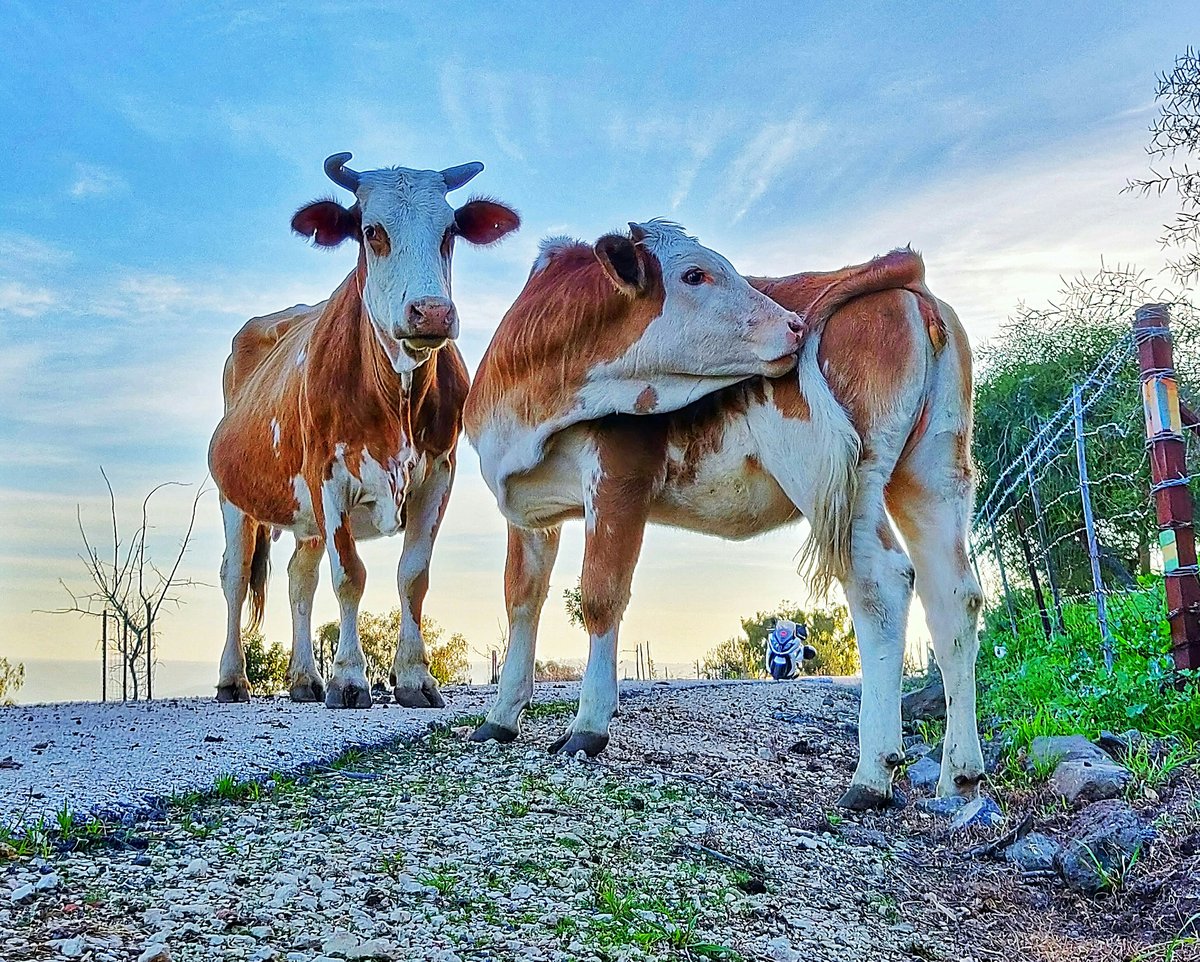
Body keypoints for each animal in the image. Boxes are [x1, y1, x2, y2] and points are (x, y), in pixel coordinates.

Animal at [208, 149, 518, 705]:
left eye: (450, 231)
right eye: (372, 231)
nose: (432, 312)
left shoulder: (439, 472)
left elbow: (413, 576)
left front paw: (414, 677)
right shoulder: (327, 476)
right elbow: (350, 575)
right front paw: (350, 678)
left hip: (302, 514)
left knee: (299, 578)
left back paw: (304, 679)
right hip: (235, 497)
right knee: (235, 576)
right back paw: (232, 678)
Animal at [463, 220, 979, 806]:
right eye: (695, 274)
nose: (794, 325)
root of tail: (905, 274)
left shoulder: (620, 477)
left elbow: (600, 596)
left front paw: (587, 728)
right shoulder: (529, 513)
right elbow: (520, 600)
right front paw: (500, 717)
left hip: (843, 481)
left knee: (882, 586)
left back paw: (871, 775)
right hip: (933, 472)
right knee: (954, 595)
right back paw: (958, 776)